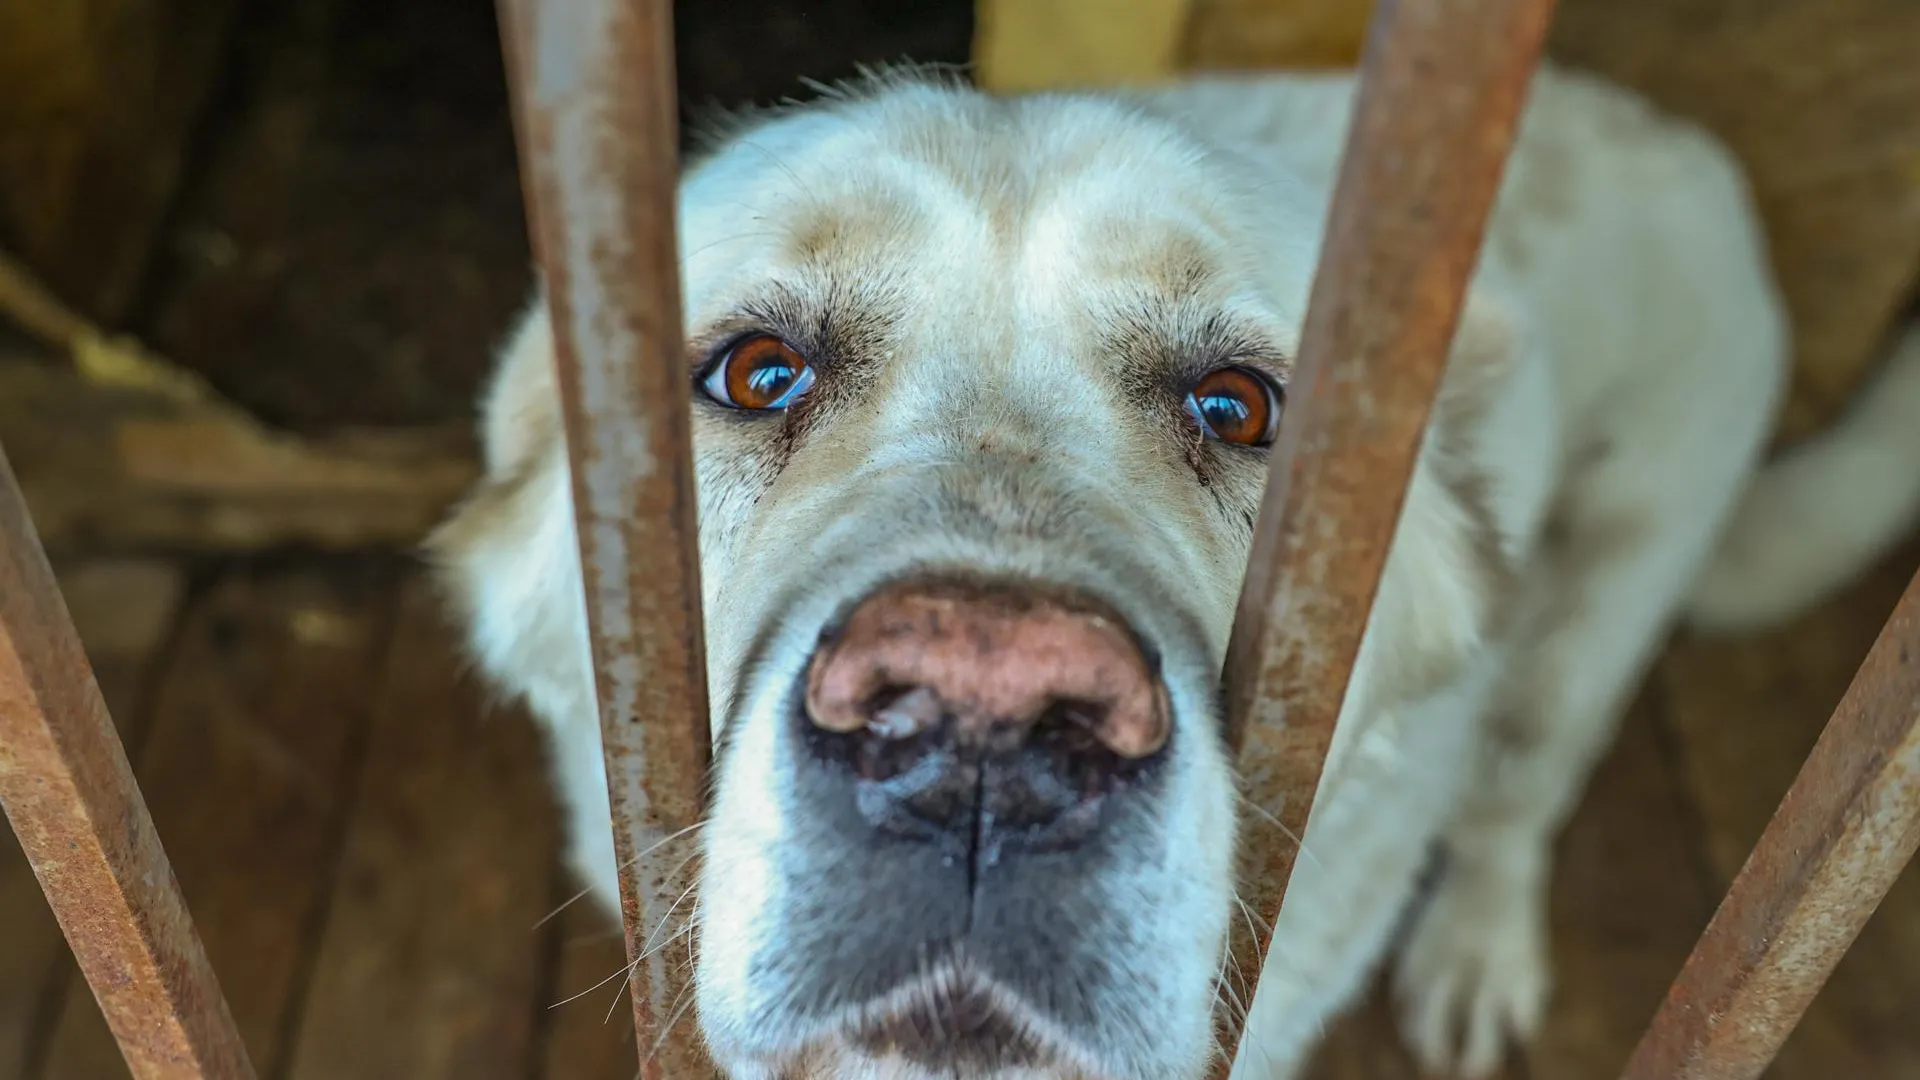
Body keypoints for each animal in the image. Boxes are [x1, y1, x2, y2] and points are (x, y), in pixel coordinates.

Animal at [432, 65, 1920, 1076]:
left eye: (1238, 407)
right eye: (759, 374)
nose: (986, 726)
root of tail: (1676, 137)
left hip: (1604, 596)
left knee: (1518, 800)